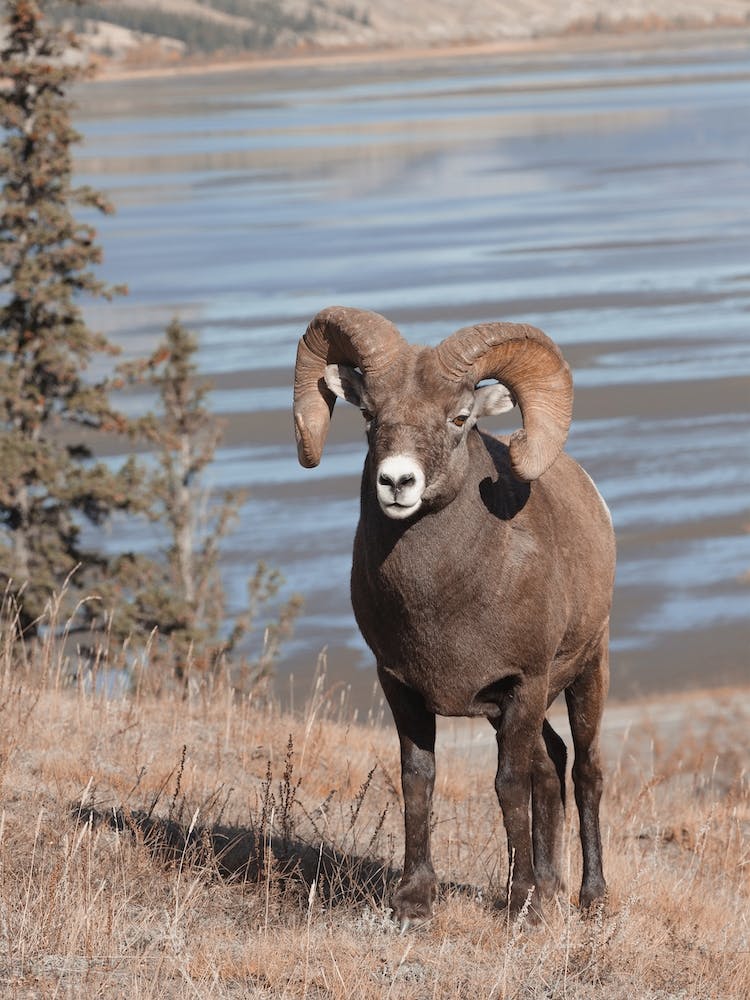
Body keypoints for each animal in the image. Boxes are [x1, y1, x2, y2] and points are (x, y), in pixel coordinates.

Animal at [293, 305, 616, 925]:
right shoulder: (402, 687)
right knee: (552, 764)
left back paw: (591, 899)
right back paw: (552, 886)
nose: (397, 482)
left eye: (459, 418)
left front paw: (521, 906)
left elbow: (510, 785)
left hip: (586, 673)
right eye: (369, 415)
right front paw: (415, 899)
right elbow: (418, 780)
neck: (444, 601)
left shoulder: (522, 685)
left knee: (585, 770)